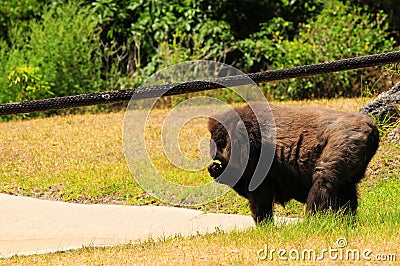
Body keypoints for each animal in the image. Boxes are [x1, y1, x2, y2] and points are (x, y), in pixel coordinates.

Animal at [208, 103, 380, 223]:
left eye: (221, 141)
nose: (212, 151)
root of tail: (369, 124)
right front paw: (216, 170)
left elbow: (259, 196)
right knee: (345, 188)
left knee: (325, 179)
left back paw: (312, 223)